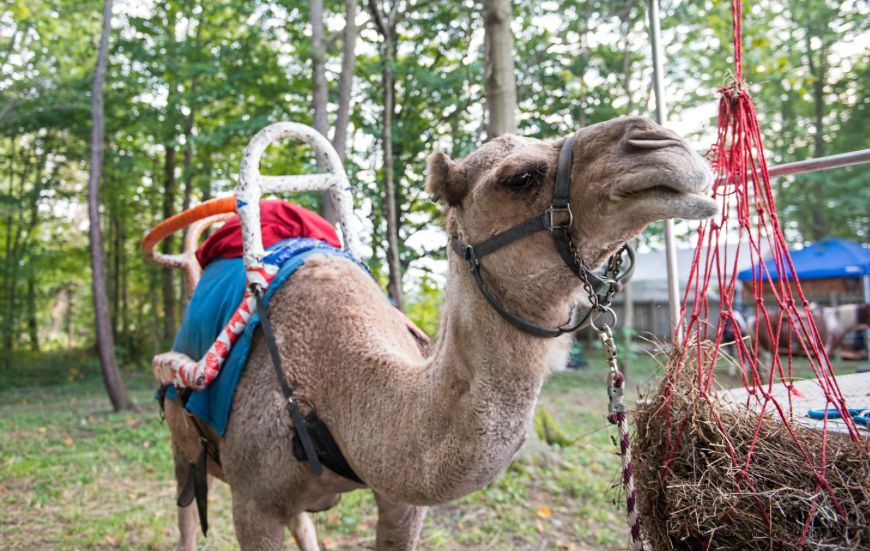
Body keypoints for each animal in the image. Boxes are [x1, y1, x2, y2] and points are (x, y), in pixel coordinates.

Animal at [162, 114, 716, 548]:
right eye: (520, 176)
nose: (659, 142)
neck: (333, 387)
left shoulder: (401, 501)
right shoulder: (252, 504)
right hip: (182, 437)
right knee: (187, 507)